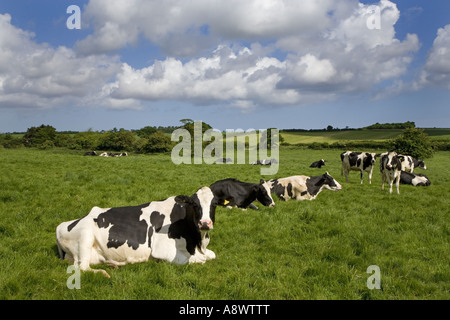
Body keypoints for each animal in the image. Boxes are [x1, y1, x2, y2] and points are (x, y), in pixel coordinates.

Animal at [55, 188, 217, 278]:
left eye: (214, 204)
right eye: (194, 204)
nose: (205, 223)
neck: (196, 243)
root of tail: (60, 225)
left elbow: (212, 255)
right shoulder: (164, 250)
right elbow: (201, 260)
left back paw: (112, 265)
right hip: (85, 236)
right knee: (82, 267)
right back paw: (103, 273)